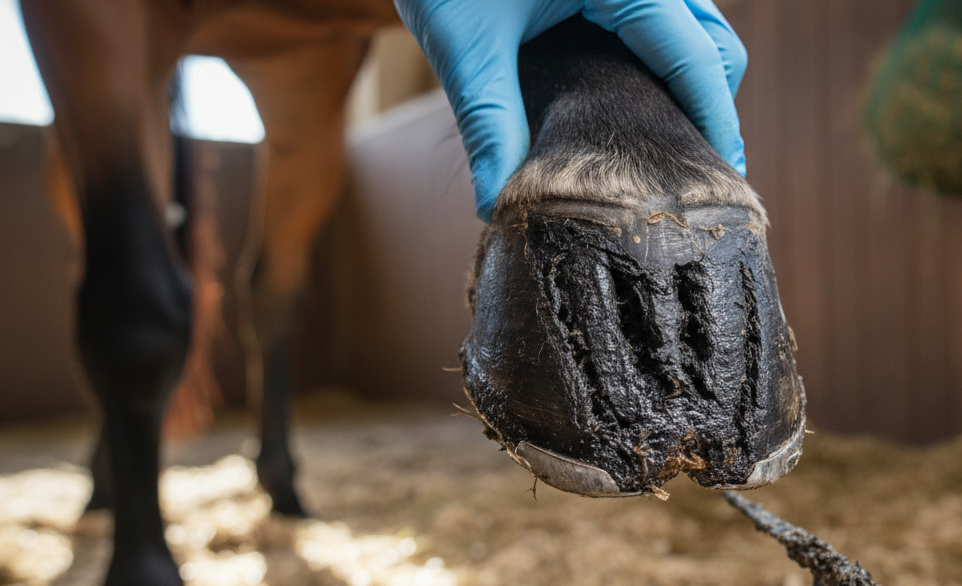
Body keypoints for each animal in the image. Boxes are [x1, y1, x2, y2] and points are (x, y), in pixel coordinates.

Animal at [21, 3, 805, 585]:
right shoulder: (88, 27)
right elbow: (134, 314)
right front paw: (143, 566)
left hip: (298, 82)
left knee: (266, 293)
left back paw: (273, 486)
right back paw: (107, 486)